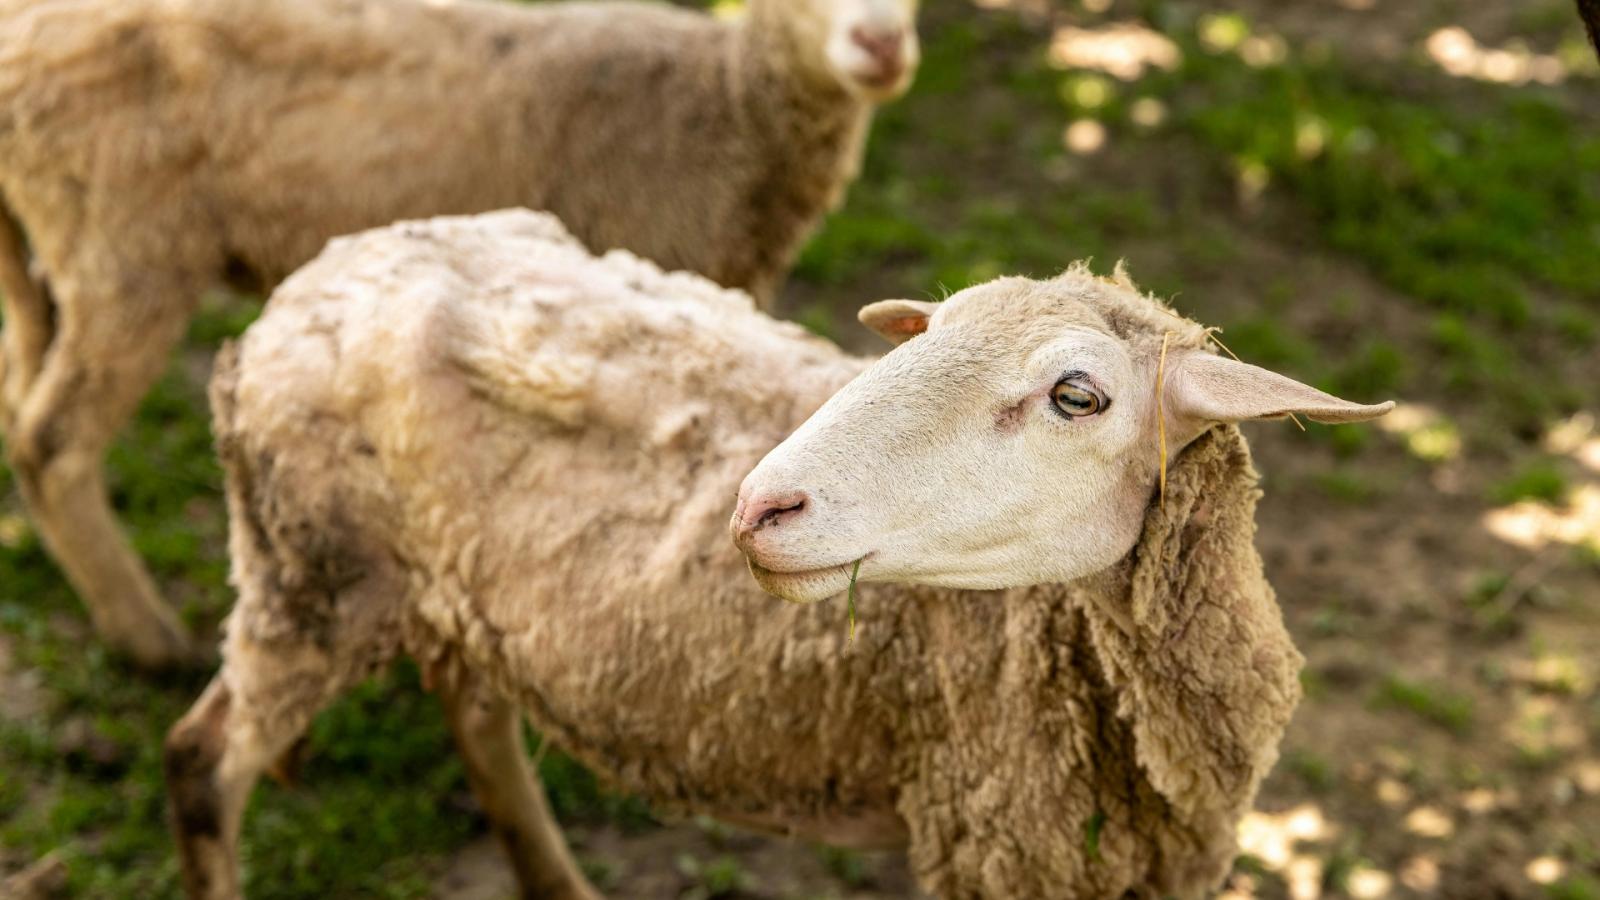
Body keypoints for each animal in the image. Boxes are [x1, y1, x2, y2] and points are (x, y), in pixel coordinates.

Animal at [164, 209, 1394, 899]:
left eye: (1078, 395)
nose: (759, 506)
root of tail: (321, 272)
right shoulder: (996, 846)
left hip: (439, 585)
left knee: (475, 717)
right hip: (312, 571)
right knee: (200, 763)